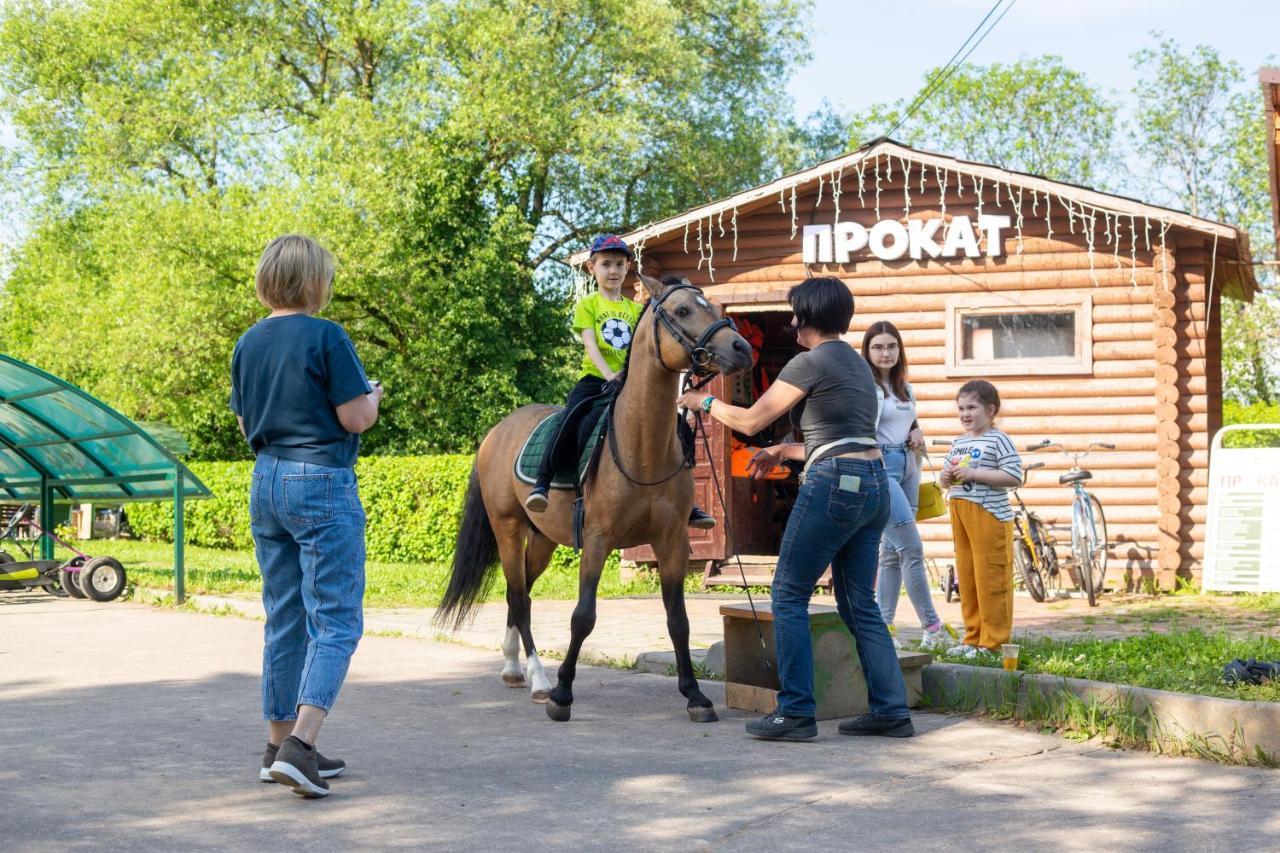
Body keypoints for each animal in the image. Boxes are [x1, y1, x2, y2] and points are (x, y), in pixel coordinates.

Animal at [437, 275, 752, 722]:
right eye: (683, 310)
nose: (741, 349)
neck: (643, 447)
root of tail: (496, 432)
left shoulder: (672, 541)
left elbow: (678, 620)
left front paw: (695, 696)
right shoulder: (598, 540)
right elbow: (582, 617)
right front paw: (562, 694)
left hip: (543, 540)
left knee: (521, 594)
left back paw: (513, 667)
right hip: (508, 530)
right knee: (518, 596)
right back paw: (538, 679)